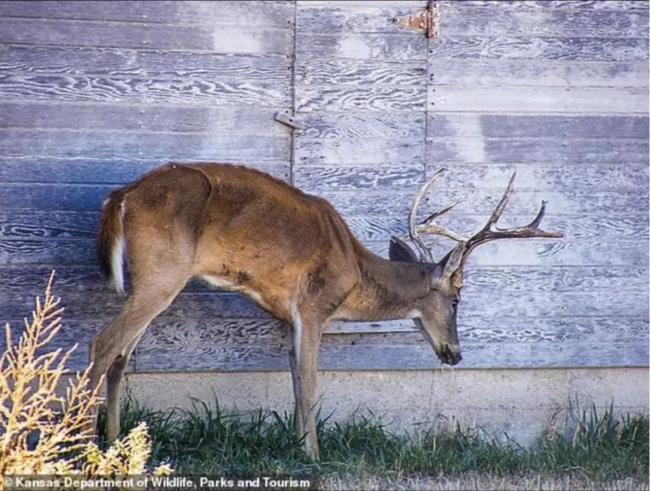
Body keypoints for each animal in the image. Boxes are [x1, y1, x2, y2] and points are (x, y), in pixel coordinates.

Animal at [88, 162, 560, 462]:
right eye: (458, 299)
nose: (455, 354)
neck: (355, 272)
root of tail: (121, 196)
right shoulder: (314, 306)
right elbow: (312, 384)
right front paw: (314, 455)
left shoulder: (286, 317)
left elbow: (296, 382)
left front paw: (297, 447)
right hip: (162, 271)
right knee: (103, 343)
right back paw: (81, 441)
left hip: (153, 279)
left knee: (121, 355)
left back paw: (115, 442)